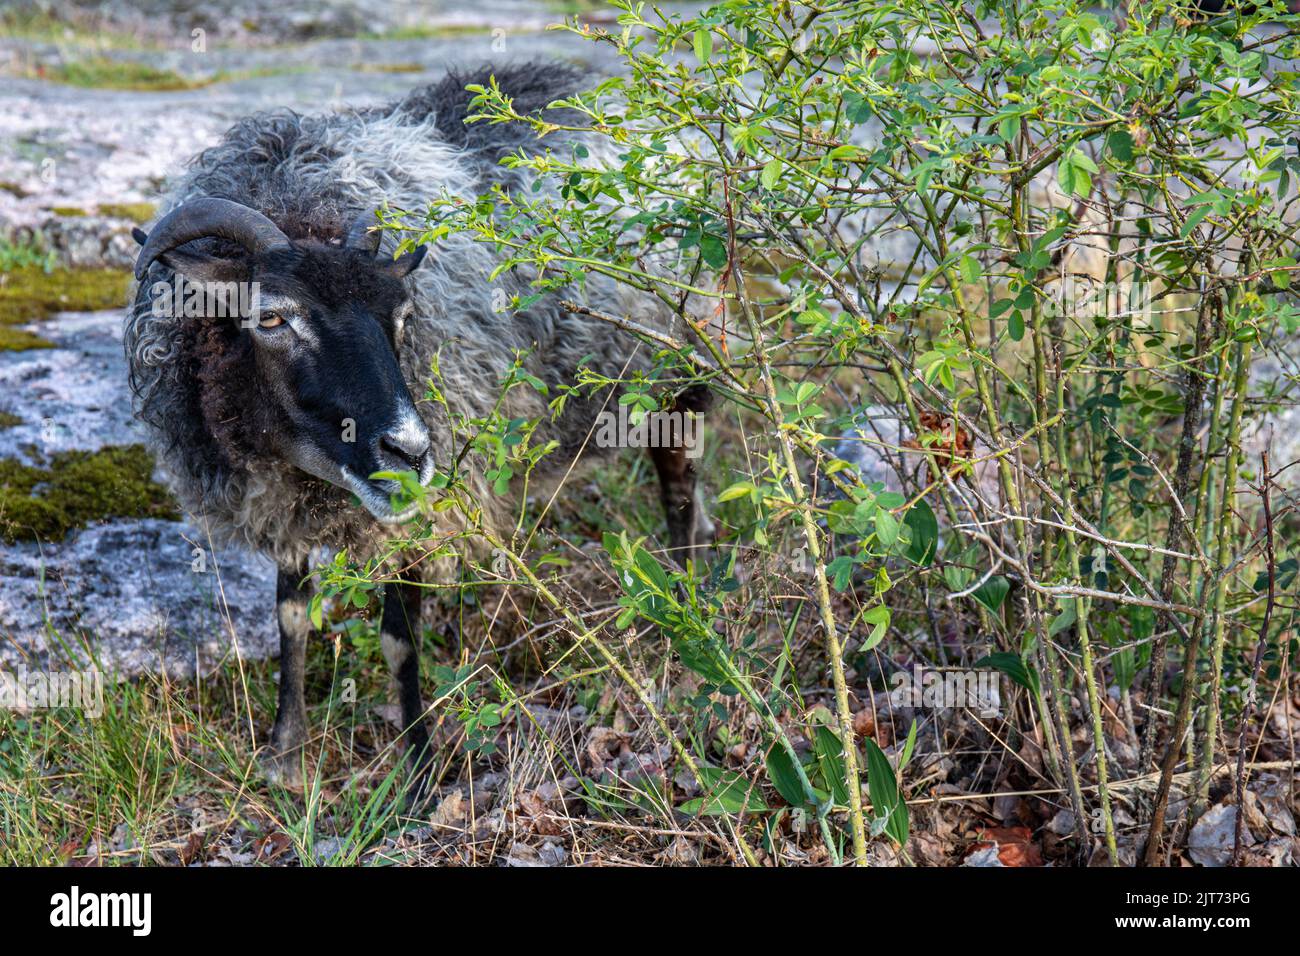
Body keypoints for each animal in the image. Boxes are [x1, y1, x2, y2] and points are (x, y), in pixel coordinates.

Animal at [124, 65, 712, 790]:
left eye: (403, 318)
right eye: (270, 317)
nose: (408, 451)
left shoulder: (421, 511)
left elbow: (398, 638)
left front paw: (420, 775)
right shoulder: (285, 501)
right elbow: (291, 617)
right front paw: (286, 755)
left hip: (675, 374)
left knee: (678, 490)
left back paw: (684, 608)